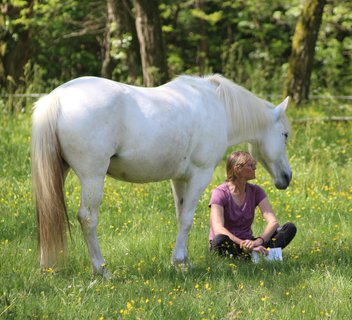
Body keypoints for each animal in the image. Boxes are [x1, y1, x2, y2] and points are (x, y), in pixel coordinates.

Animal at [31, 74, 292, 276]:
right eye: (285, 135)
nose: (287, 177)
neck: (217, 107)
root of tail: (57, 98)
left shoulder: (179, 179)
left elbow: (180, 216)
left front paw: (184, 262)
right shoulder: (199, 175)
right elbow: (187, 219)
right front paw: (180, 262)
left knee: (48, 211)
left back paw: (47, 267)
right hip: (93, 177)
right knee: (87, 218)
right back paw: (101, 270)